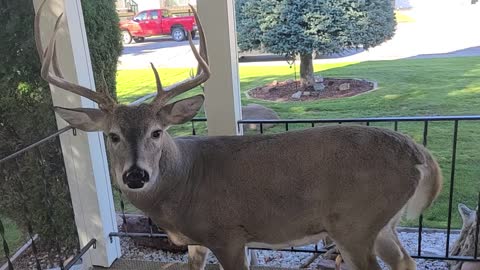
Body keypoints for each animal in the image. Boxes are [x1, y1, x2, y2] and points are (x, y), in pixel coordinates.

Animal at [36, 1, 442, 268]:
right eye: (113, 135)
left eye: (157, 132)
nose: (136, 175)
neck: (183, 184)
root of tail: (418, 153)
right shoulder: (196, 243)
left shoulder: (228, 234)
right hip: (382, 222)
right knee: (405, 261)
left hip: (354, 223)